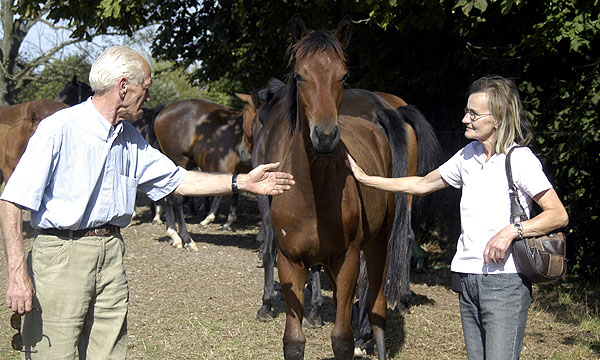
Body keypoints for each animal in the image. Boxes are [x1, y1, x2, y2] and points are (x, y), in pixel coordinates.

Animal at [154, 95, 252, 250]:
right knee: (175, 197)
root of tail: (167, 107)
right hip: (178, 161)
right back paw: (186, 238)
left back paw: (174, 233)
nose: (245, 152)